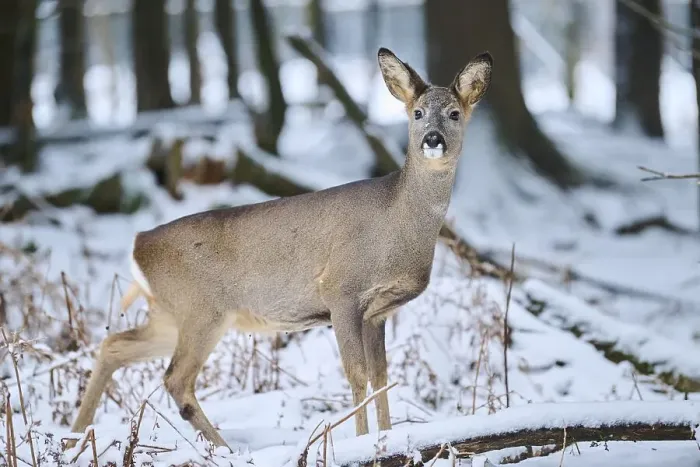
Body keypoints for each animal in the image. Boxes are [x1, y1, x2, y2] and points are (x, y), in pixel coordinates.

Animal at [68, 47, 492, 451]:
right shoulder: (340, 290)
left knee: (113, 345)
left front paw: (387, 437)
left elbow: (382, 377)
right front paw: (362, 442)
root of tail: (138, 245)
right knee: (176, 379)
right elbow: (356, 375)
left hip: (170, 314)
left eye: (454, 114)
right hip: (201, 309)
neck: (397, 227)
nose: (432, 139)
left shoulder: (378, 312)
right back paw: (225, 451)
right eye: (417, 112)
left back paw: (74, 439)